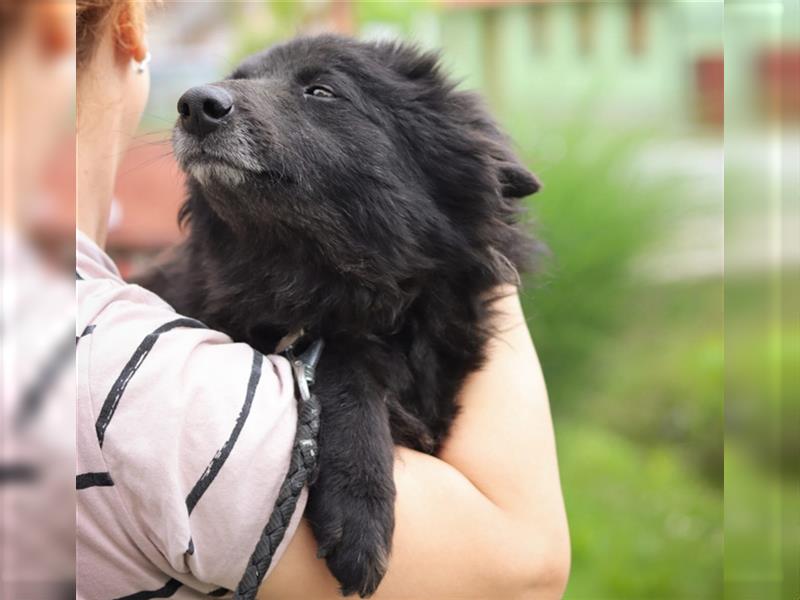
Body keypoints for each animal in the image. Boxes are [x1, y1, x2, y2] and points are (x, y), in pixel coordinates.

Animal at [141, 35, 540, 596]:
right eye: (239, 77)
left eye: (322, 90)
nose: (196, 104)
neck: (309, 286)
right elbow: (348, 361)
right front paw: (361, 508)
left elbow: (345, 353)